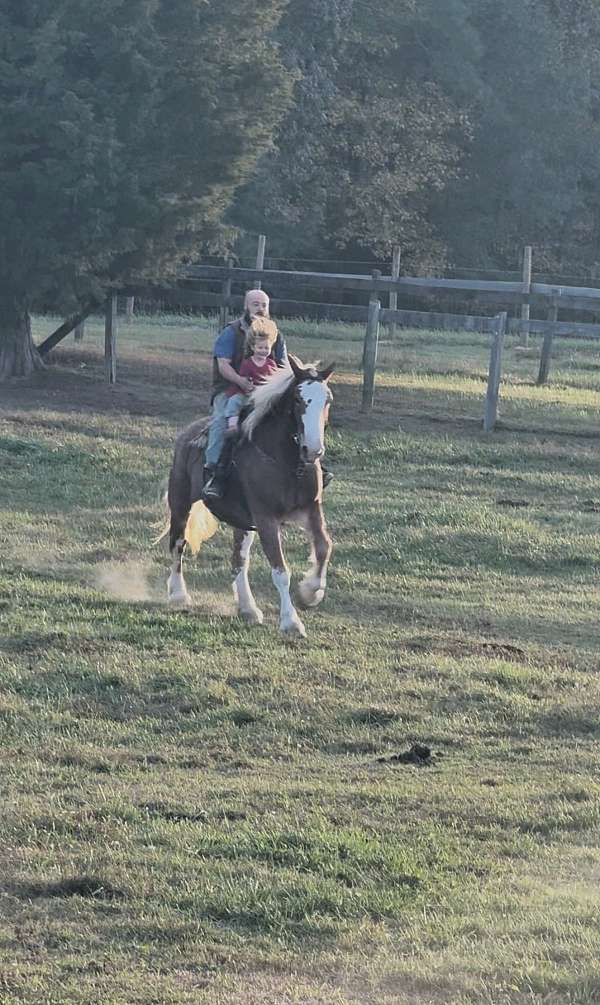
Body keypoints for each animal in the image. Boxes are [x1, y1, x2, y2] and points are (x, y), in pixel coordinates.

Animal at [161, 354, 334, 637]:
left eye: (327, 399)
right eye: (298, 399)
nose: (313, 450)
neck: (284, 462)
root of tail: (187, 434)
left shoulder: (311, 509)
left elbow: (323, 547)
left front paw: (310, 593)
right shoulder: (266, 518)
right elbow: (280, 570)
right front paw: (291, 622)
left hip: (243, 522)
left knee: (238, 560)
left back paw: (248, 608)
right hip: (181, 503)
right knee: (177, 544)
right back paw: (178, 594)